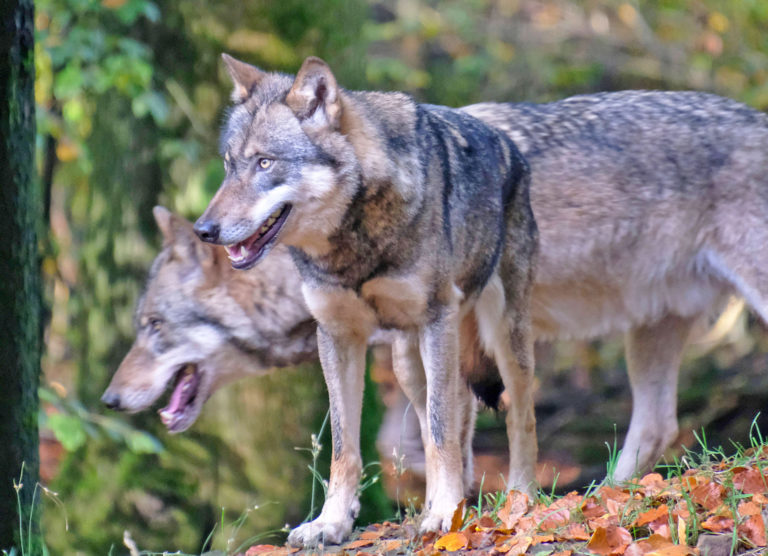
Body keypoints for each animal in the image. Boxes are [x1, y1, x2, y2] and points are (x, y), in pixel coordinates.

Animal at [194, 53, 540, 544]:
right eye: (228, 166)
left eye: (264, 162)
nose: (203, 230)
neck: (352, 244)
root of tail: (510, 145)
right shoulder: (337, 335)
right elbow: (346, 447)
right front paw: (331, 522)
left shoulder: (437, 320)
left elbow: (441, 434)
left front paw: (447, 512)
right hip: (410, 364)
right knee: (447, 416)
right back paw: (435, 506)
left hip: (503, 340)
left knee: (517, 417)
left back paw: (518, 499)